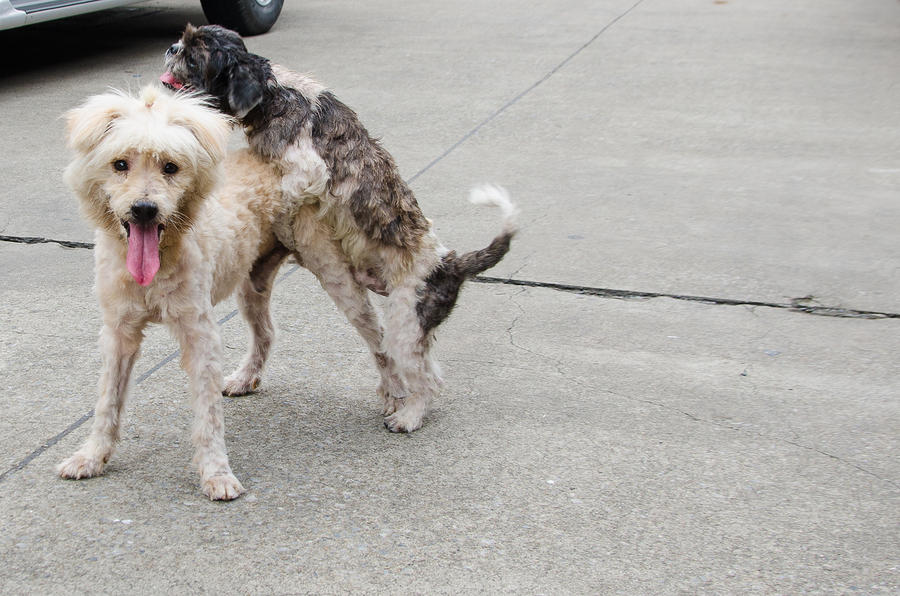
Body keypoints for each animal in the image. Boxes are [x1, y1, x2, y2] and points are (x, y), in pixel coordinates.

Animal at [158, 24, 516, 434]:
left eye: (194, 56)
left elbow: (287, 187)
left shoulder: (308, 171)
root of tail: (450, 264)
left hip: (405, 323)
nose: (171, 47)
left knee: (426, 377)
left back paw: (410, 415)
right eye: (184, 41)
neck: (274, 92)